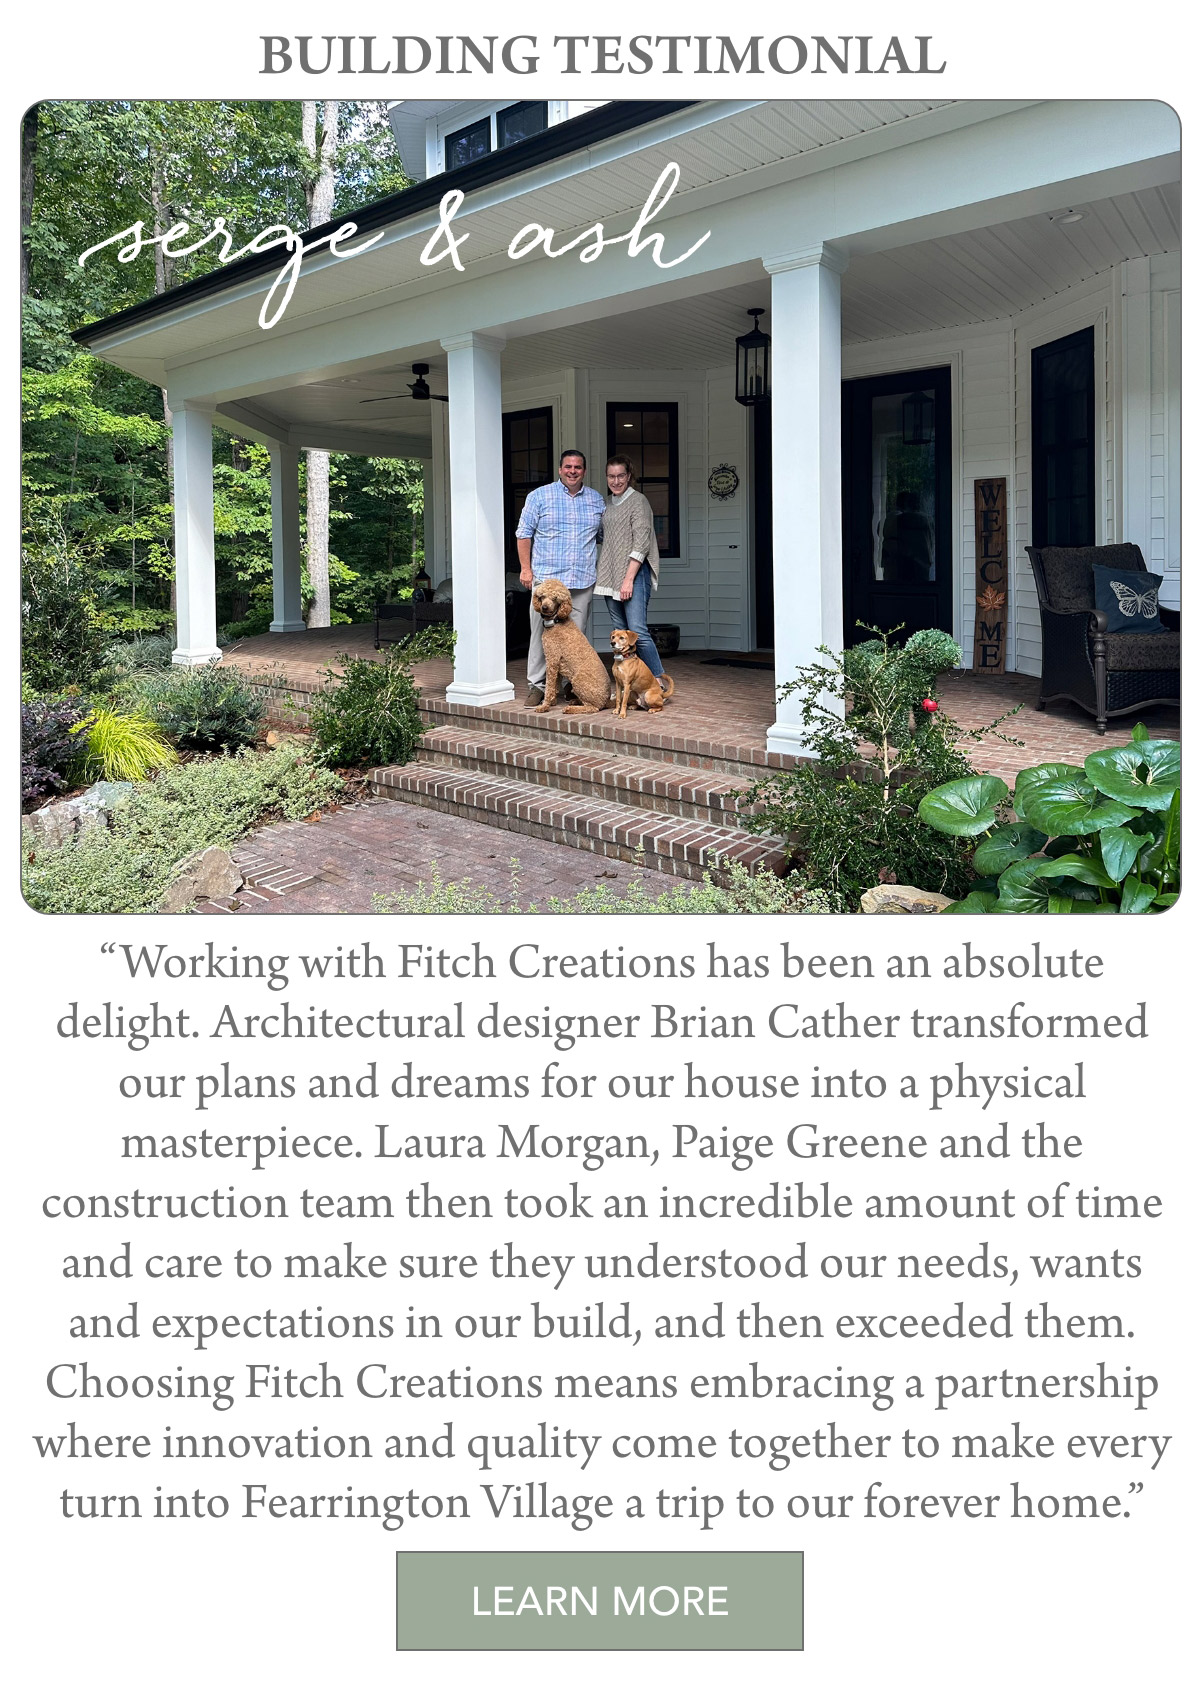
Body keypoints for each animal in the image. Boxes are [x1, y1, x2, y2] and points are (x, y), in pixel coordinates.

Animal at [531, 578, 612, 711]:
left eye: (555, 598)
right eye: (542, 596)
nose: (544, 607)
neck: (556, 621)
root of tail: (607, 700)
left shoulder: (552, 660)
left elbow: (549, 686)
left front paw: (544, 706)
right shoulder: (557, 664)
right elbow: (555, 686)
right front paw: (552, 702)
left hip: (578, 681)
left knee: (592, 708)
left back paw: (571, 709)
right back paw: (574, 702)